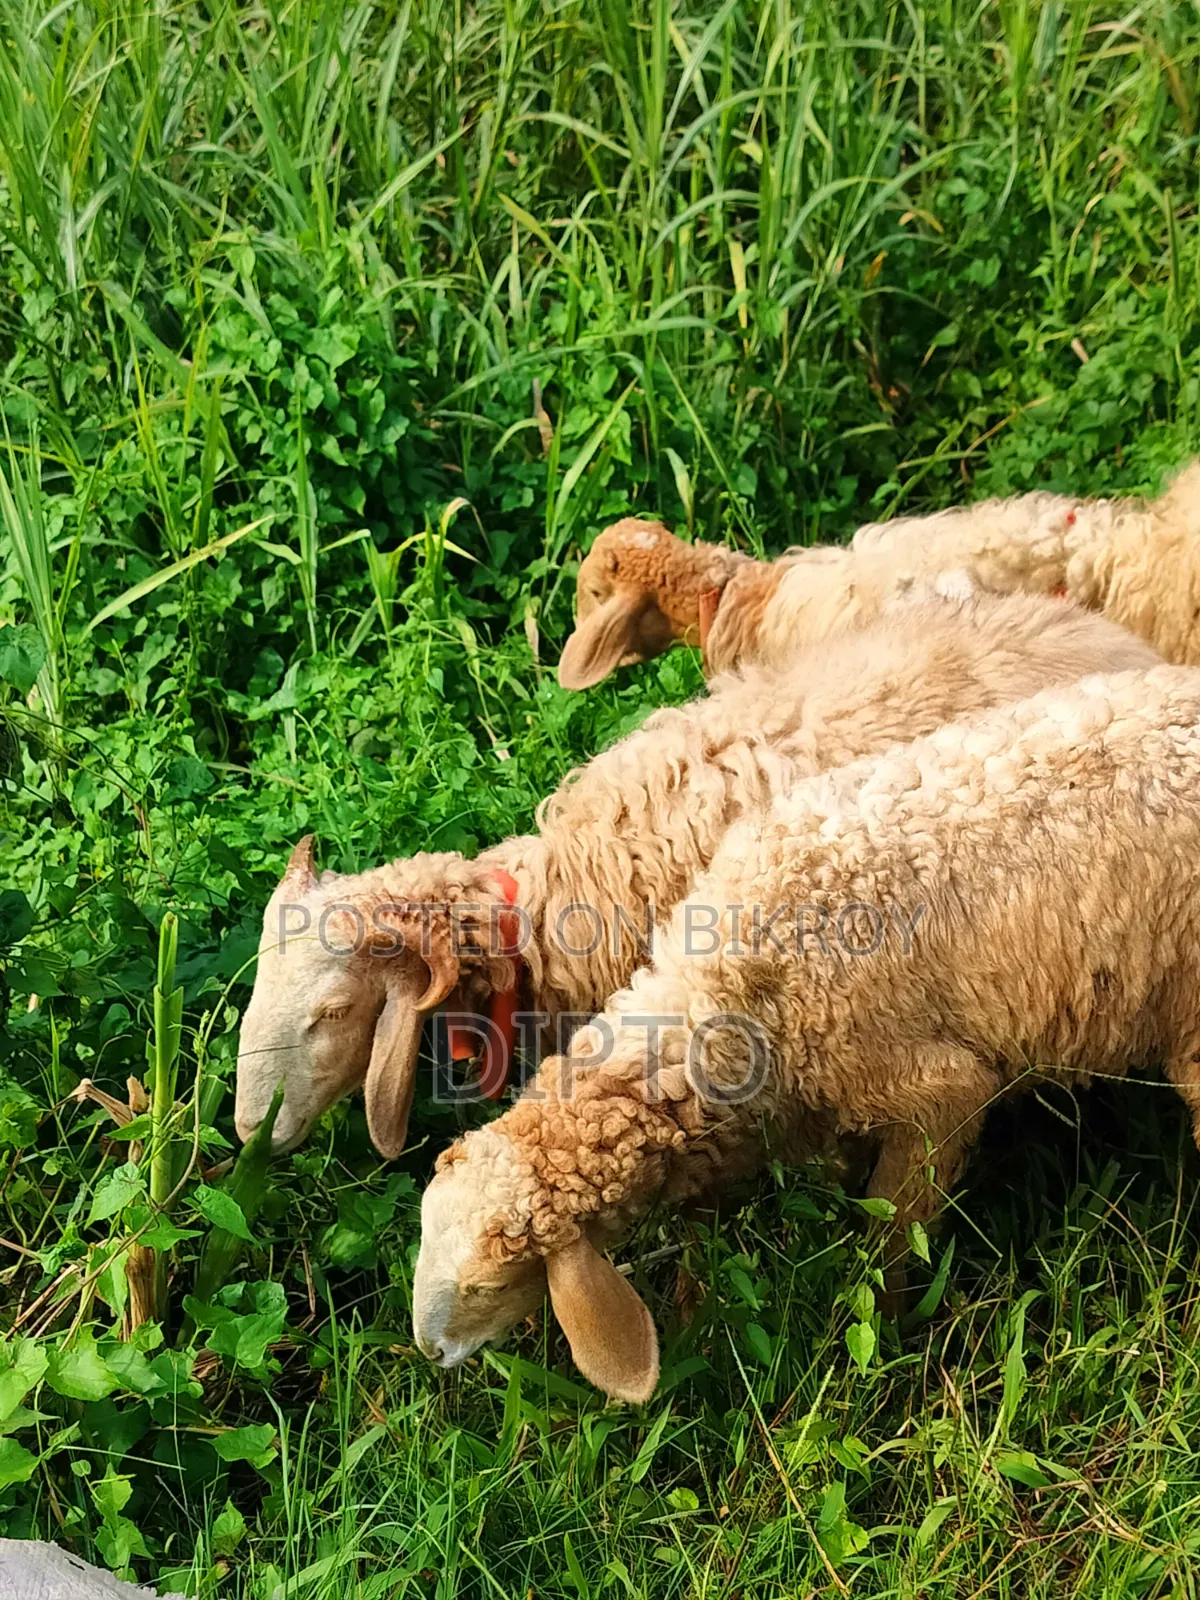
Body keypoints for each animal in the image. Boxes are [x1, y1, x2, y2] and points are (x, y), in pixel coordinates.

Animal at [412, 663, 1200, 1402]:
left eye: (491, 1282)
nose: (426, 1351)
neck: (725, 1000)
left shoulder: (940, 1091)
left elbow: (895, 1226)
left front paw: (887, 1324)